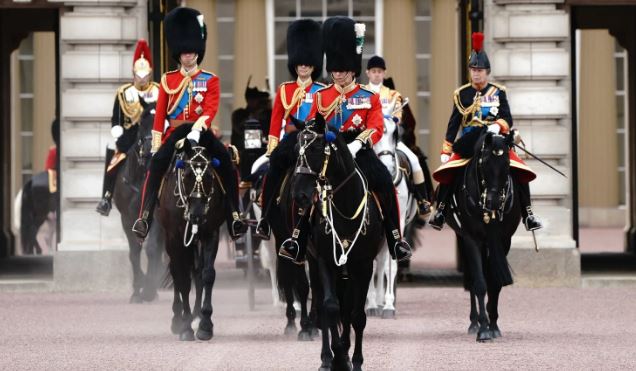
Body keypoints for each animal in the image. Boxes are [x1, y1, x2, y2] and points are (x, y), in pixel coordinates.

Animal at [113, 101, 165, 302]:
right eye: (142, 122)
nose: (151, 150)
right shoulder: (127, 219)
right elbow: (134, 253)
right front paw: (138, 288)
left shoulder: (156, 218)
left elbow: (151, 249)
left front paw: (148, 289)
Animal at [158, 125, 227, 342]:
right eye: (187, 175)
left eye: (210, 176)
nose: (197, 215)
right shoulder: (175, 238)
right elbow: (182, 280)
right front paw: (186, 327)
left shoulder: (210, 233)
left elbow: (207, 274)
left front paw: (205, 324)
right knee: (177, 271)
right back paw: (178, 318)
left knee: (196, 271)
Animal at [290, 117, 386, 371]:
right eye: (296, 149)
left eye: (315, 149)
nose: (299, 195)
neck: (345, 206)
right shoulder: (325, 261)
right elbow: (331, 308)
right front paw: (338, 357)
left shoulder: (363, 265)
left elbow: (357, 315)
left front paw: (356, 360)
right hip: (315, 262)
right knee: (326, 308)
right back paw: (327, 357)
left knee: (348, 310)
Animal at [444, 131, 520, 342]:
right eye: (484, 162)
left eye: (507, 163)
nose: (493, 202)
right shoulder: (471, 239)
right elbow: (479, 283)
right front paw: (484, 328)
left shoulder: (503, 241)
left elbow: (494, 282)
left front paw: (493, 326)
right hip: (463, 239)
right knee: (472, 278)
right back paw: (474, 322)